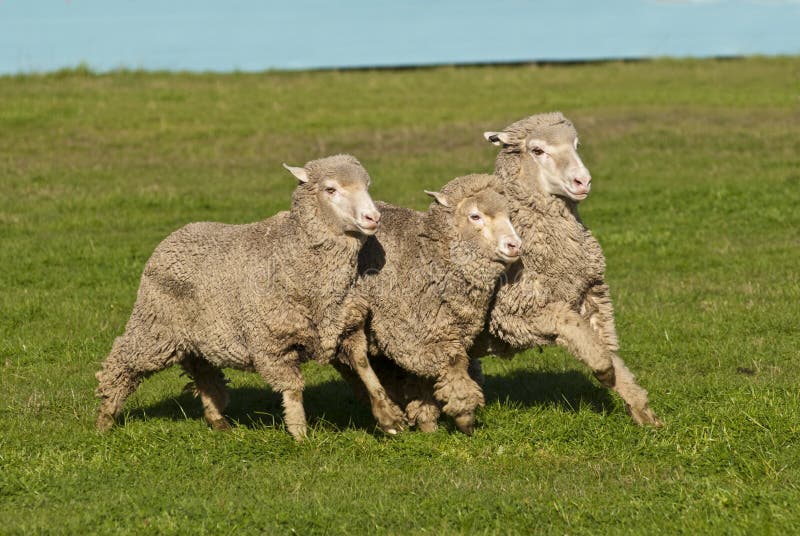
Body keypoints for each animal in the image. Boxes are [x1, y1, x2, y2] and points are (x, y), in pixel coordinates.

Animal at [95, 154, 407, 440]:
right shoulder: (272, 344)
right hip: (155, 326)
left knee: (203, 371)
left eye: (367, 186)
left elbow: (365, 368)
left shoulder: (347, 326)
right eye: (330, 189)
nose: (373, 218)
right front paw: (300, 436)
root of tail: (176, 234)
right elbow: (293, 389)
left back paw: (217, 419)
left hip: (197, 334)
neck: (293, 252)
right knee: (123, 362)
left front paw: (389, 416)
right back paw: (105, 418)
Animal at [334, 173, 522, 435]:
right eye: (475, 216)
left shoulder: (435, 332)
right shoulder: (418, 333)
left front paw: (427, 422)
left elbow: (422, 379)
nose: (515, 245)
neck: (427, 255)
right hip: (349, 309)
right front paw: (464, 416)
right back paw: (387, 415)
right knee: (356, 355)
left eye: (510, 216)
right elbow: (454, 365)